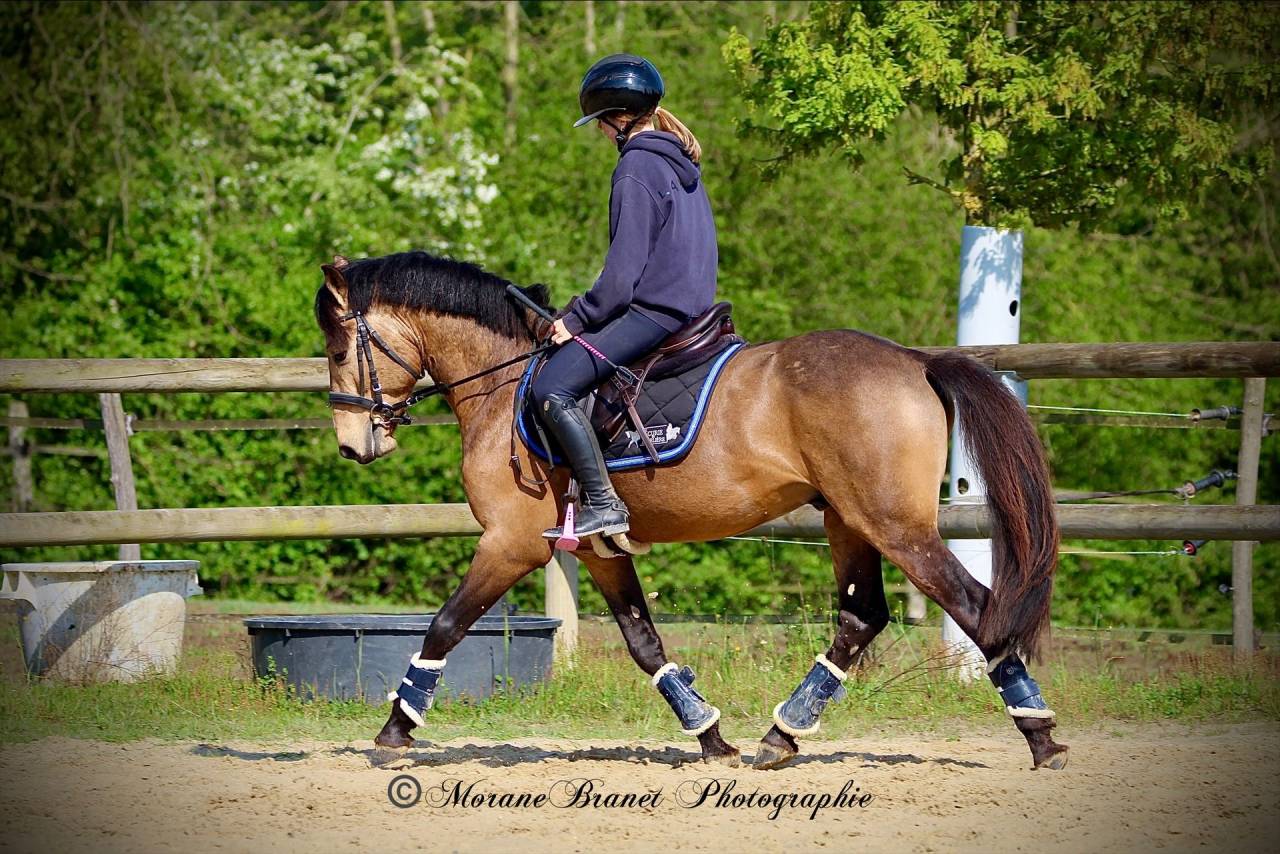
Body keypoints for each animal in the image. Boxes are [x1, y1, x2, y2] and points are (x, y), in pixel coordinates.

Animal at [316, 250, 1069, 771]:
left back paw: (1039, 735)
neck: (505, 384)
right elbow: (645, 644)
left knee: (976, 606)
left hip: (896, 526)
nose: (354, 444)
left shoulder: (511, 542)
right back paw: (779, 737)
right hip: (848, 521)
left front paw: (394, 730)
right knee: (862, 618)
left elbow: (445, 625)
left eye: (338, 345)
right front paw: (709, 736)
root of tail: (914, 361)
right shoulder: (597, 550)